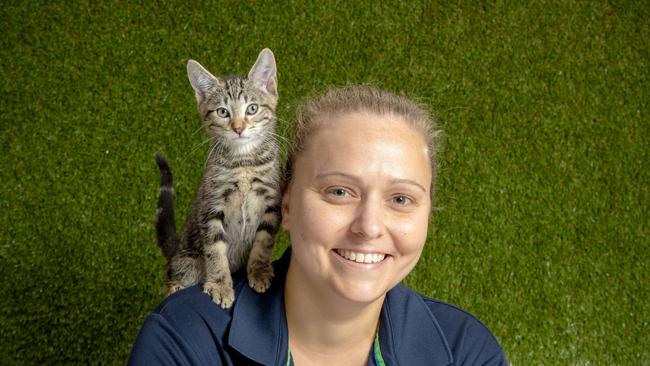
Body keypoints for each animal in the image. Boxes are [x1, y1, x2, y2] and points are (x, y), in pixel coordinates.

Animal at [156, 47, 280, 308]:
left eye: (252, 108)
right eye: (223, 112)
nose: (238, 128)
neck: (244, 164)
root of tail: (176, 250)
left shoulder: (271, 203)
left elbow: (264, 241)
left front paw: (259, 270)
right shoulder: (211, 205)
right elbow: (215, 251)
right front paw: (221, 285)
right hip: (187, 261)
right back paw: (175, 287)